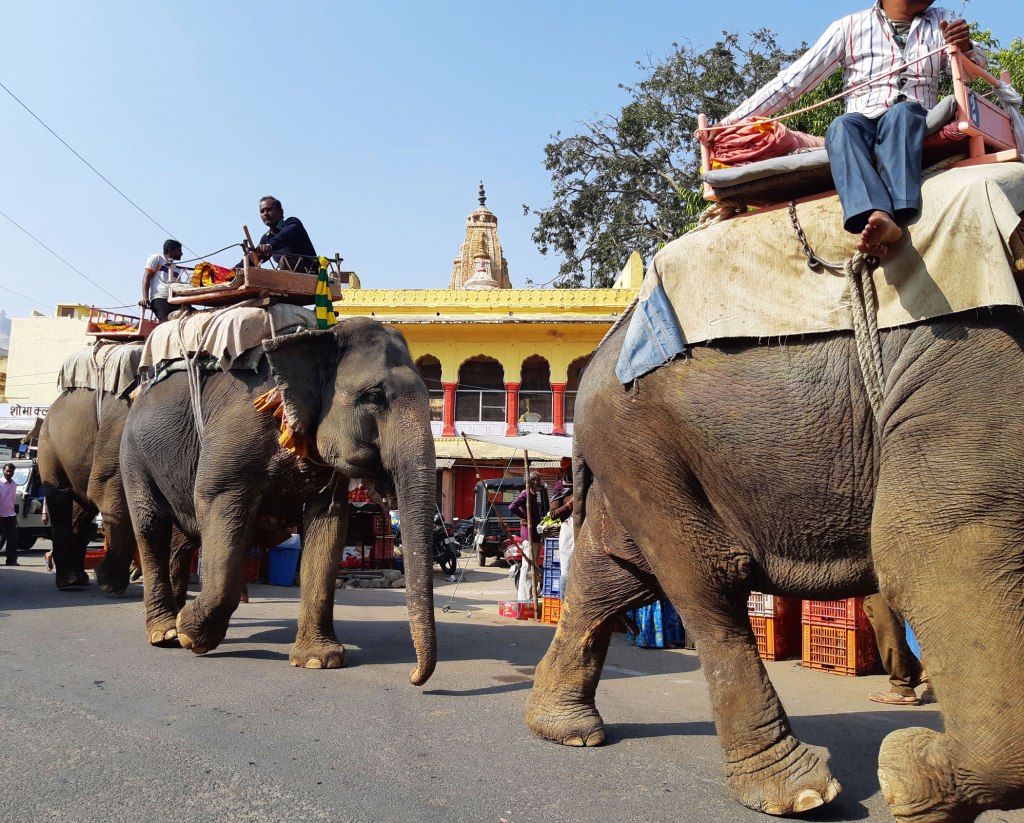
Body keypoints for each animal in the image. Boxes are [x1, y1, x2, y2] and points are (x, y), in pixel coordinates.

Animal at [120, 316, 437, 683]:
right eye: (373, 396)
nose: (413, 676)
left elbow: (330, 524)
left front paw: (318, 660)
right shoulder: (235, 433)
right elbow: (216, 500)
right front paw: (191, 635)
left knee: (181, 538)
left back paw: (174, 616)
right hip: (133, 456)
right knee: (151, 527)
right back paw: (165, 632)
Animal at [526, 307, 1024, 822]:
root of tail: (599, 354)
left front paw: (909, 777)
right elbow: (929, 552)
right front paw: (904, 777)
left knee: (613, 578)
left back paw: (565, 730)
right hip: (643, 453)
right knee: (708, 582)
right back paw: (798, 794)